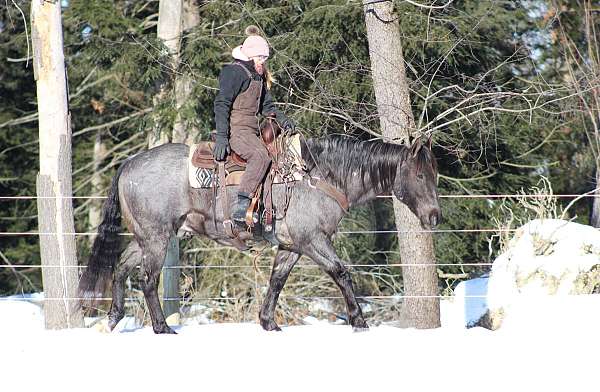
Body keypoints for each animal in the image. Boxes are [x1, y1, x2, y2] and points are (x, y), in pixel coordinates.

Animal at [78, 135, 440, 334]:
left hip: (147, 236)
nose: (434, 217)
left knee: (121, 268)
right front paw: (359, 321)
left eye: (435, 174)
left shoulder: (292, 246)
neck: (319, 178)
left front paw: (268, 322)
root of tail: (128, 163)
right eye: (420, 175)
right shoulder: (313, 240)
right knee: (147, 279)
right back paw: (162, 327)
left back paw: (113, 318)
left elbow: (277, 280)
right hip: (157, 237)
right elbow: (341, 273)